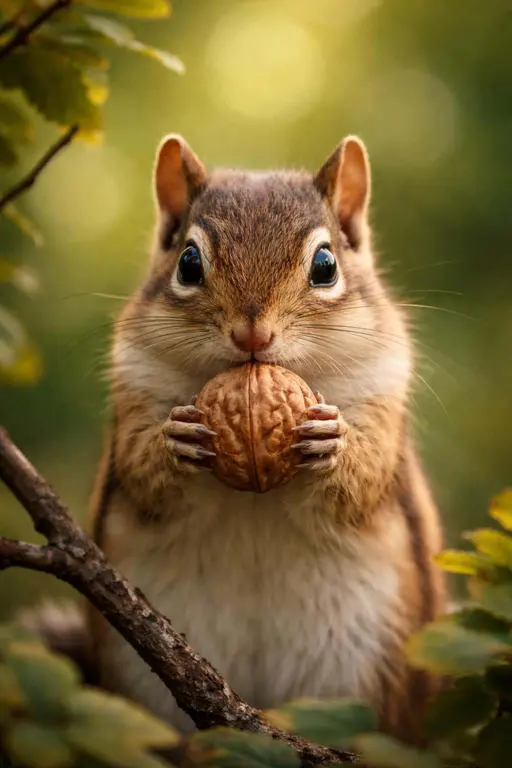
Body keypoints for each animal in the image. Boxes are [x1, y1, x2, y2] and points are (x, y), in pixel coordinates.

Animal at [18, 134, 446, 745]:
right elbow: (143, 474)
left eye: (325, 265)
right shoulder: (133, 389)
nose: (252, 333)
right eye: (188, 262)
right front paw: (176, 441)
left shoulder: (383, 393)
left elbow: (363, 482)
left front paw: (332, 441)